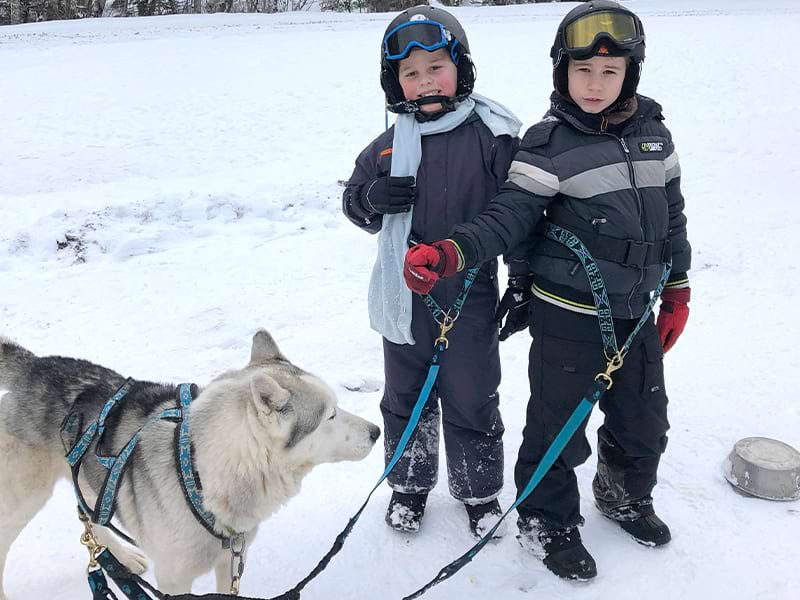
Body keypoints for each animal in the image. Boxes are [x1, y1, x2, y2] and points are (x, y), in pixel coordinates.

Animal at [0, 330, 380, 596]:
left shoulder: (232, 560)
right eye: (330, 416)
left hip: (92, 484)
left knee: (91, 518)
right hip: (22, 500)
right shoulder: (174, 580)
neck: (199, 472)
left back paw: (120, 558)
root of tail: (35, 365)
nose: (376, 431)